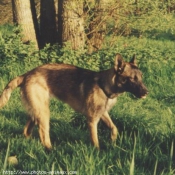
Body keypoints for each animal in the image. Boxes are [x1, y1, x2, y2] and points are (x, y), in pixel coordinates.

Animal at [0, 53, 148, 149]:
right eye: (132, 78)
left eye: (141, 77)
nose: (147, 92)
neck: (104, 85)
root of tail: (26, 75)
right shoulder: (92, 120)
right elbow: (95, 141)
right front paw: (98, 153)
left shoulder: (103, 114)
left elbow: (114, 128)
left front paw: (112, 141)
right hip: (44, 113)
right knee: (43, 134)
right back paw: (50, 151)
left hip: (36, 111)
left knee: (26, 131)